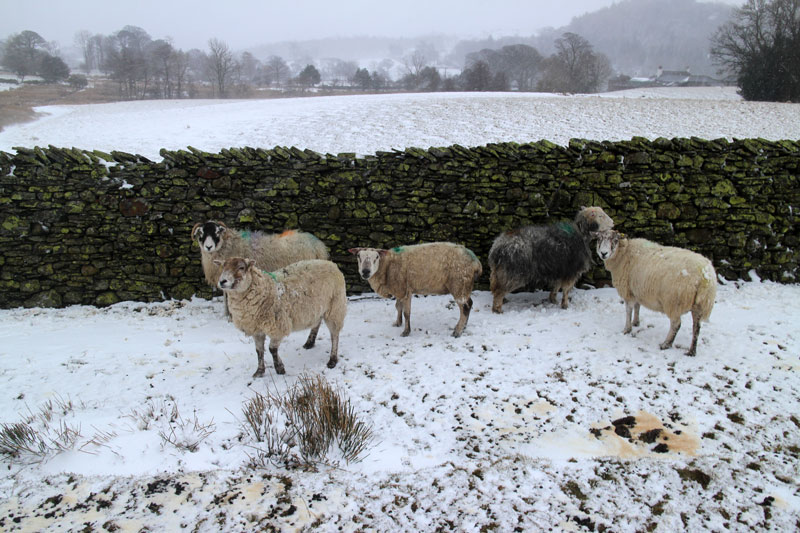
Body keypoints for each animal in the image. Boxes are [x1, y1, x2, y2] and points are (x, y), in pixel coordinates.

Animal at [216, 257, 347, 376]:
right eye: (223, 267)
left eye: (241, 267)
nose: (222, 281)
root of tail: (330, 263)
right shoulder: (256, 329)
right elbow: (259, 351)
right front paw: (259, 372)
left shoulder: (278, 327)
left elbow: (272, 349)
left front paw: (279, 368)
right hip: (317, 308)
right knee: (317, 322)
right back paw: (309, 343)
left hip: (335, 308)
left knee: (334, 335)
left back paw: (332, 360)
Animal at [348, 243, 483, 338]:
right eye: (358, 256)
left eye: (376, 257)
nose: (365, 271)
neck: (386, 266)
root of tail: (476, 262)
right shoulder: (400, 289)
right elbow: (398, 307)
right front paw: (398, 323)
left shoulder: (405, 290)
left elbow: (406, 313)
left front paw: (406, 332)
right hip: (464, 286)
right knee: (469, 303)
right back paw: (463, 327)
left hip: (459, 284)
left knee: (465, 307)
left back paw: (457, 331)